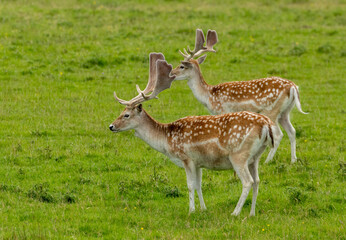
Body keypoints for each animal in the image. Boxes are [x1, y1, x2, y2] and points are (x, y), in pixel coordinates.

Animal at [109, 52, 278, 216]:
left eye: (126, 115)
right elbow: (198, 185)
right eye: (121, 112)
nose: (111, 126)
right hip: (255, 157)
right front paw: (203, 209)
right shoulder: (198, 162)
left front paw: (191, 211)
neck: (166, 140)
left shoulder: (187, 158)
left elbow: (190, 185)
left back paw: (235, 212)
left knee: (248, 181)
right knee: (257, 180)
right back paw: (252, 213)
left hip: (239, 155)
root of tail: (266, 124)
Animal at [171, 28, 308, 163]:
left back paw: (267, 161)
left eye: (182, 66)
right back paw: (293, 160)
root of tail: (293, 87)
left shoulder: (222, 111)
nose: (171, 73)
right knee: (292, 131)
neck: (209, 96)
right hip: (285, 112)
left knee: (279, 134)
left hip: (272, 110)